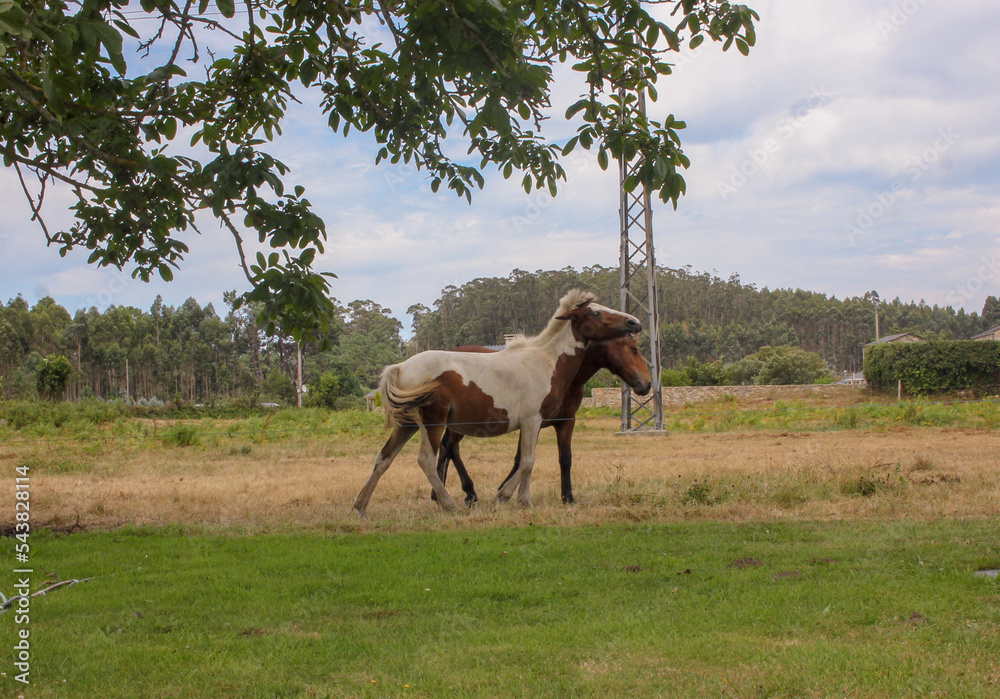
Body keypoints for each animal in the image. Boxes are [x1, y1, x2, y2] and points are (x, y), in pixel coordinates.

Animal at [433, 332, 651, 506]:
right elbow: (521, 459)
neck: (560, 373)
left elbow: (564, 458)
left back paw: (439, 494)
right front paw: (505, 491)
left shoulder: (565, 422)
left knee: (446, 447)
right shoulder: (531, 423)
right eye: (633, 349)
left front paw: (568, 497)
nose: (647, 383)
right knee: (450, 447)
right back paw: (468, 493)